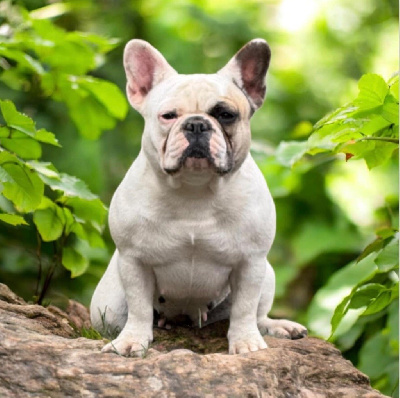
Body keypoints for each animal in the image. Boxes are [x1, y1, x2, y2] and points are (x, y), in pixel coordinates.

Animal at [90, 38, 306, 356]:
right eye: (168, 116)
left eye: (226, 115)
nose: (196, 124)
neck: (195, 190)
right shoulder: (134, 261)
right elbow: (139, 307)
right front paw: (131, 341)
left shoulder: (251, 262)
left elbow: (245, 308)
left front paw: (246, 343)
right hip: (106, 304)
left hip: (267, 274)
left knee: (256, 314)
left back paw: (278, 326)